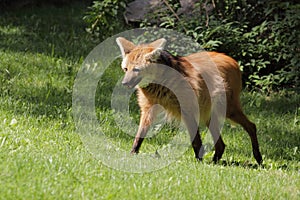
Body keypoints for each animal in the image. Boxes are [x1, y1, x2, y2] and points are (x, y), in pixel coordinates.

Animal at [116, 36, 262, 164]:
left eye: (136, 69)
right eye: (126, 69)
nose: (124, 83)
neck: (159, 83)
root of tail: (232, 60)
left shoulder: (187, 109)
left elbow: (196, 140)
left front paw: (199, 161)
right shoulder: (148, 109)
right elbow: (139, 135)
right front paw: (132, 154)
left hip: (228, 109)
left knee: (251, 126)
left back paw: (258, 158)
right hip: (210, 113)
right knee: (221, 144)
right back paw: (215, 161)